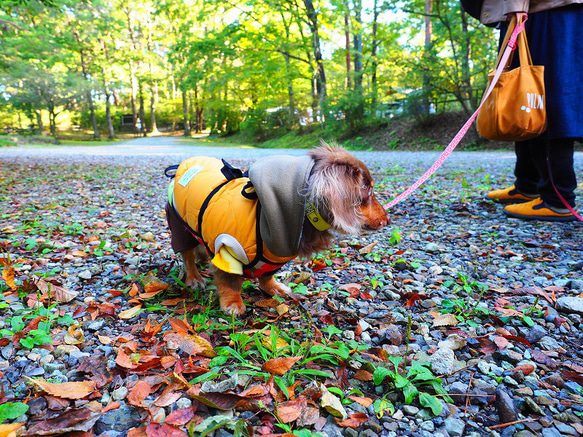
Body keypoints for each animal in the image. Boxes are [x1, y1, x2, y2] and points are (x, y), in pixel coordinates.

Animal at [164, 141, 390, 316]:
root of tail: (183, 165)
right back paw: (194, 278)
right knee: (187, 256)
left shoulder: (273, 258)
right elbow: (230, 281)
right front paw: (232, 303)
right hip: (179, 226)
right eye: (369, 191)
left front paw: (273, 288)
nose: (387, 220)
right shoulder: (227, 250)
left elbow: (267, 275)